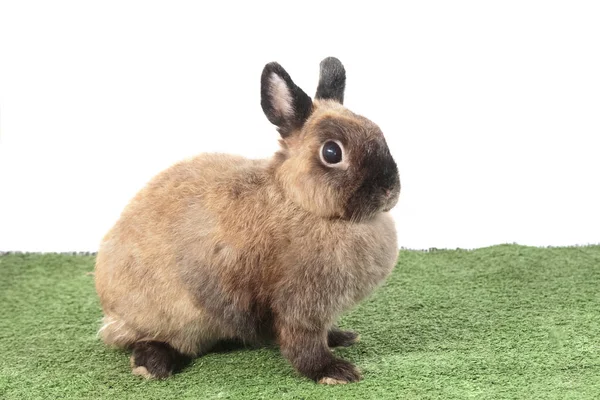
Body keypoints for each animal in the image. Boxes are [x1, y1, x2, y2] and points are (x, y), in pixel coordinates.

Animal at [95, 57, 398, 384]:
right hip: (174, 317)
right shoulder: (300, 304)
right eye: (332, 152)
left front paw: (339, 338)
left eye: (379, 132)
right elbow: (302, 342)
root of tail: (110, 309)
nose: (389, 189)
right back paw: (152, 363)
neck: (300, 203)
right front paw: (334, 371)